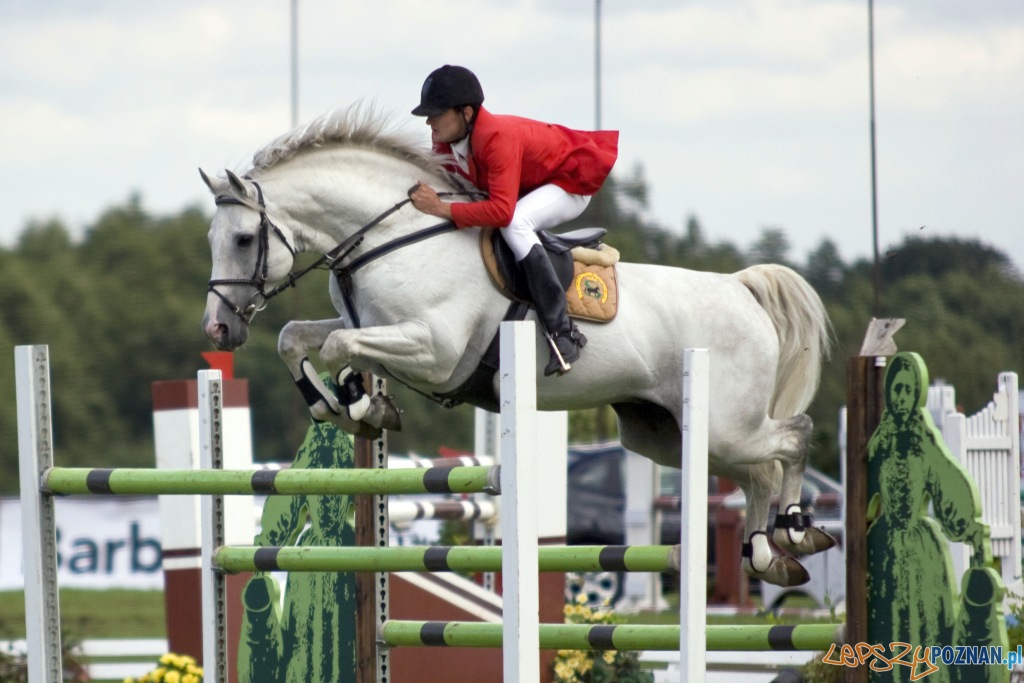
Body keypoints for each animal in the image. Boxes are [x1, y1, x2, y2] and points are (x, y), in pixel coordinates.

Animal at [203, 107, 835, 589]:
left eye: (244, 238)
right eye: (213, 238)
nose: (218, 332)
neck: (391, 237)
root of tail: (741, 289)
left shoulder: (434, 350)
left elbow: (339, 345)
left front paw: (358, 401)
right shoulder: (376, 327)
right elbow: (301, 337)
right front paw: (350, 403)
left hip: (725, 425)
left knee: (792, 437)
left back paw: (796, 529)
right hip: (668, 435)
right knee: (757, 473)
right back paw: (767, 554)